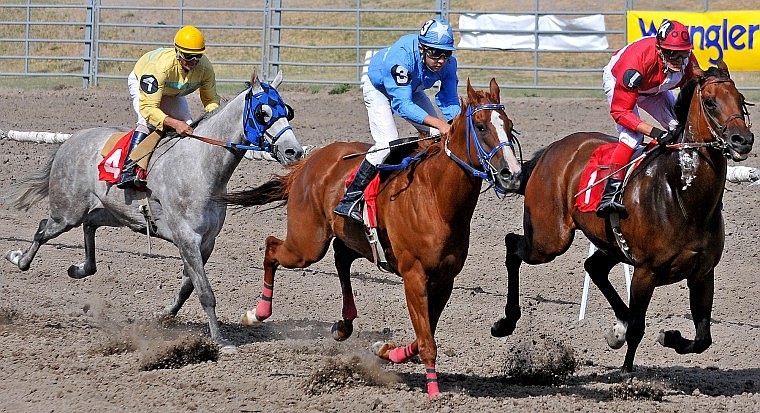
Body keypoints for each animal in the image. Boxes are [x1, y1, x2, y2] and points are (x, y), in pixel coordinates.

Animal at [3, 69, 306, 346]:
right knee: (43, 229)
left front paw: (164, 315)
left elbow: (188, 287)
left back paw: (79, 268)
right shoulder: (187, 238)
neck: (200, 166)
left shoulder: (206, 242)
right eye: (263, 112)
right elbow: (205, 291)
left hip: (114, 213)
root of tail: (70, 141)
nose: (294, 151)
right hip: (68, 211)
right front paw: (220, 340)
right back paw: (18, 258)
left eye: (287, 111)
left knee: (89, 225)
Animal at [220, 79, 524, 398]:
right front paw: (434, 393)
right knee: (272, 247)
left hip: (355, 238)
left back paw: (343, 324)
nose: (512, 174)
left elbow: (423, 334)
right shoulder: (414, 275)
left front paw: (386, 349)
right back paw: (257, 313)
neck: (436, 198)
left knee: (341, 256)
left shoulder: (445, 279)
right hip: (307, 245)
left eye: (509, 125)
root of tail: (310, 160)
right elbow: (427, 341)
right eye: (481, 126)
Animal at [492, 62, 756, 374]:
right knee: (513, 245)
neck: (682, 197)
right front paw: (627, 371)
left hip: (610, 245)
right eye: (711, 102)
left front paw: (669, 337)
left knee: (593, 267)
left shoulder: (703, 274)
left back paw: (618, 325)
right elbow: (639, 328)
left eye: (741, 99)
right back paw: (506, 322)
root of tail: (550, 150)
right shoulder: (645, 272)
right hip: (549, 239)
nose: (743, 140)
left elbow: (703, 338)